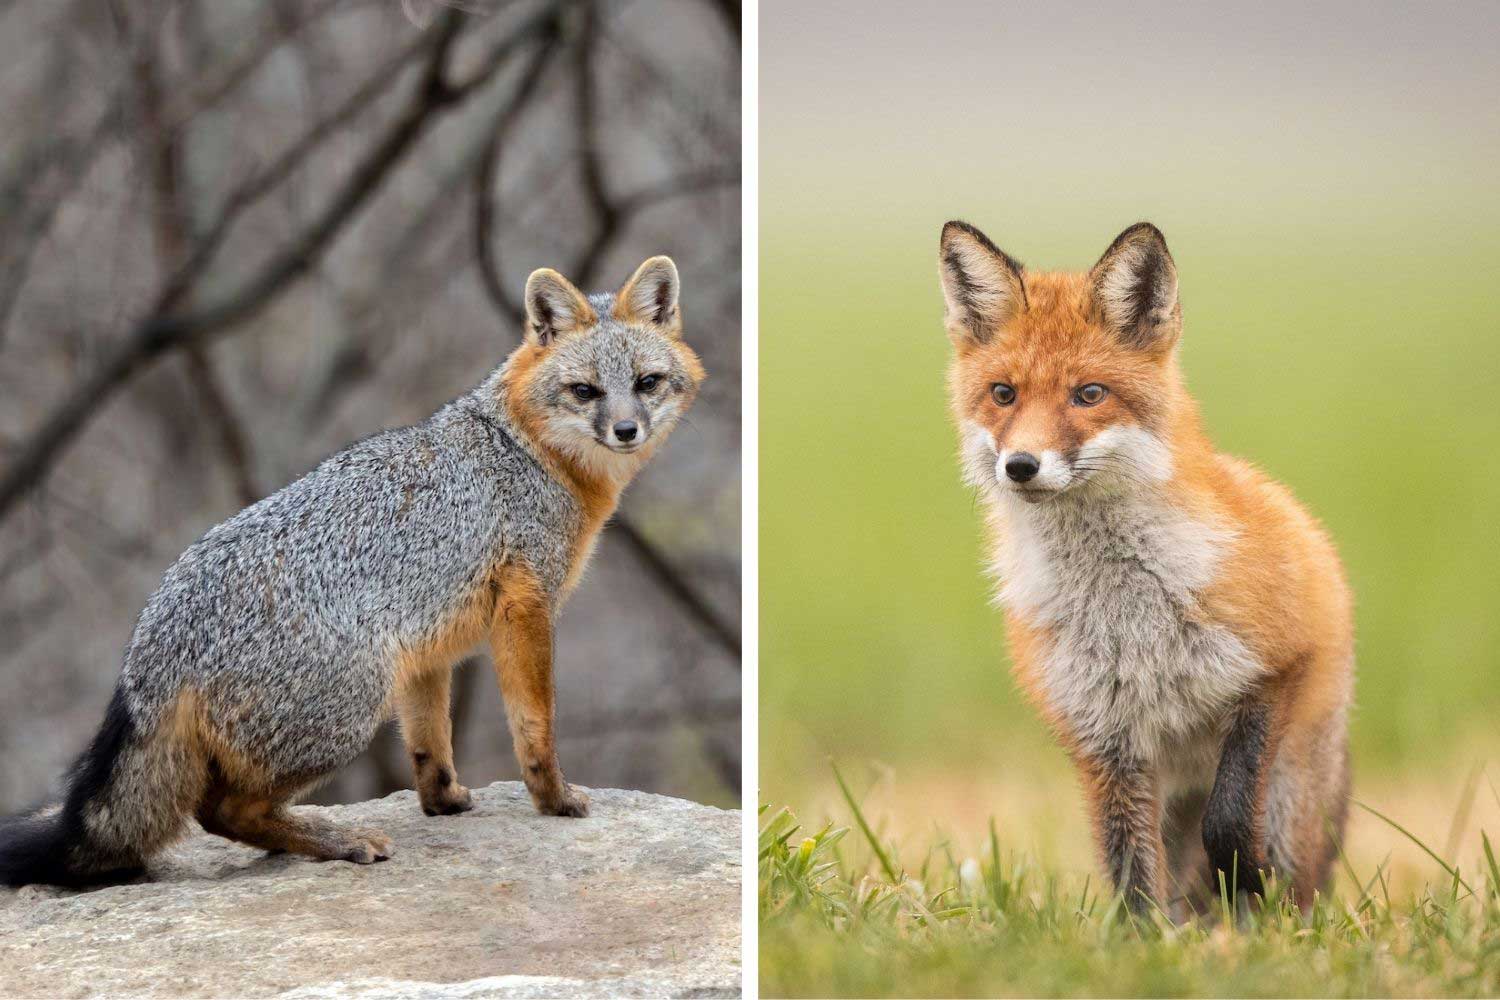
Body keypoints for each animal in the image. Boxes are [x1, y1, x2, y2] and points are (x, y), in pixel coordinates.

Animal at [0, 255, 703, 888]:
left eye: (646, 382)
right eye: (585, 391)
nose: (626, 430)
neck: (524, 448)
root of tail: (155, 637)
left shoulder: (426, 649)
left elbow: (429, 742)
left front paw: (444, 802)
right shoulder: (527, 606)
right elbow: (537, 726)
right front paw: (554, 799)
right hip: (349, 713)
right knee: (222, 812)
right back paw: (334, 841)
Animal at [938, 220, 1353, 916]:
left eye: (1089, 395)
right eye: (1003, 394)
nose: (1020, 465)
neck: (1125, 610)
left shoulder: (1275, 667)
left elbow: (1230, 820)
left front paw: (1245, 880)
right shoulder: (1103, 738)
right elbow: (1129, 867)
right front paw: (1144, 940)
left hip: (1292, 790)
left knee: (1291, 869)